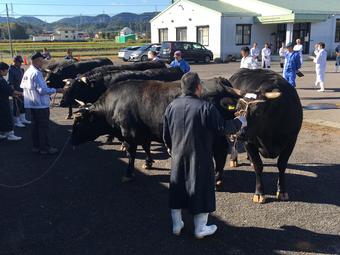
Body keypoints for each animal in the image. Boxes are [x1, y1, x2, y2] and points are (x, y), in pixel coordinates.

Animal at [70, 78, 238, 186]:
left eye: (78, 123)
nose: (71, 141)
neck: (114, 105)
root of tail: (220, 82)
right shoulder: (143, 132)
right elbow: (146, 147)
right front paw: (148, 162)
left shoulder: (129, 135)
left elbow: (131, 155)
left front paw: (128, 174)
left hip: (216, 134)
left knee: (221, 152)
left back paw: (217, 178)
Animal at [227, 68, 302, 204]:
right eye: (237, 109)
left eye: (258, 112)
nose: (238, 133)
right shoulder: (249, 141)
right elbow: (258, 166)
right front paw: (259, 193)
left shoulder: (291, 140)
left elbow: (282, 165)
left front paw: (282, 191)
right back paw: (234, 159)